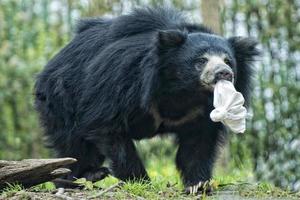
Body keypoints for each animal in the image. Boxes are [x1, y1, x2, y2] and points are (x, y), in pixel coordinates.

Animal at [34, 7, 258, 193]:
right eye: (201, 61)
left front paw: (198, 185)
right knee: (73, 144)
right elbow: (108, 127)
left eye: (229, 61)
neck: (184, 90)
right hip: (61, 97)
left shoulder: (200, 113)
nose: (224, 73)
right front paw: (141, 182)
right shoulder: (124, 78)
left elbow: (198, 144)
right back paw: (77, 179)